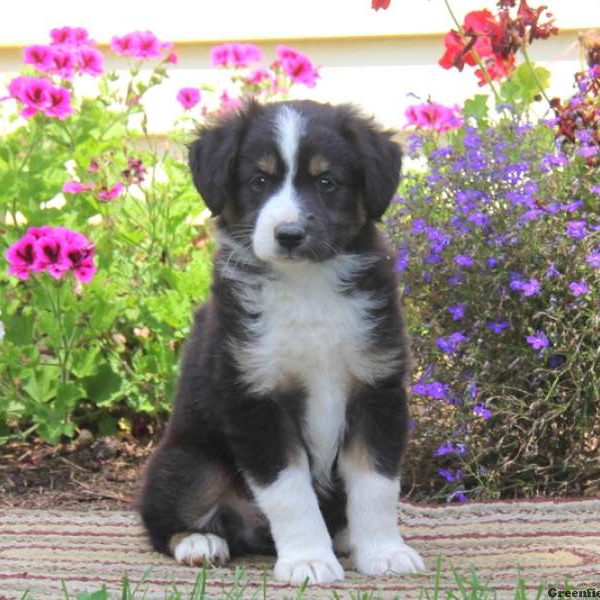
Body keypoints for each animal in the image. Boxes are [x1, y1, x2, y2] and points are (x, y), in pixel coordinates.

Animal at [139, 101, 424, 584]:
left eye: (326, 182)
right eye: (259, 181)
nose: (289, 235)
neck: (307, 285)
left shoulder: (376, 387)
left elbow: (377, 482)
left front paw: (384, 552)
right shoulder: (255, 397)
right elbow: (290, 490)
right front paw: (308, 560)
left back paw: (345, 538)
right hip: (187, 463)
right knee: (167, 519)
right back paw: (199, 542)